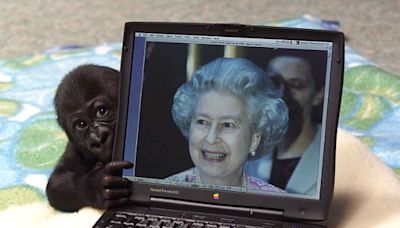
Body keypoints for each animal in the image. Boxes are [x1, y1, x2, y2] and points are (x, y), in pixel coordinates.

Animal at [46, 64, 132, 212]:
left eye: (102, 111)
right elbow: (56, 183)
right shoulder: (74, 149)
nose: (98, 139)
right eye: (81, 124)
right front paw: (96, 186)